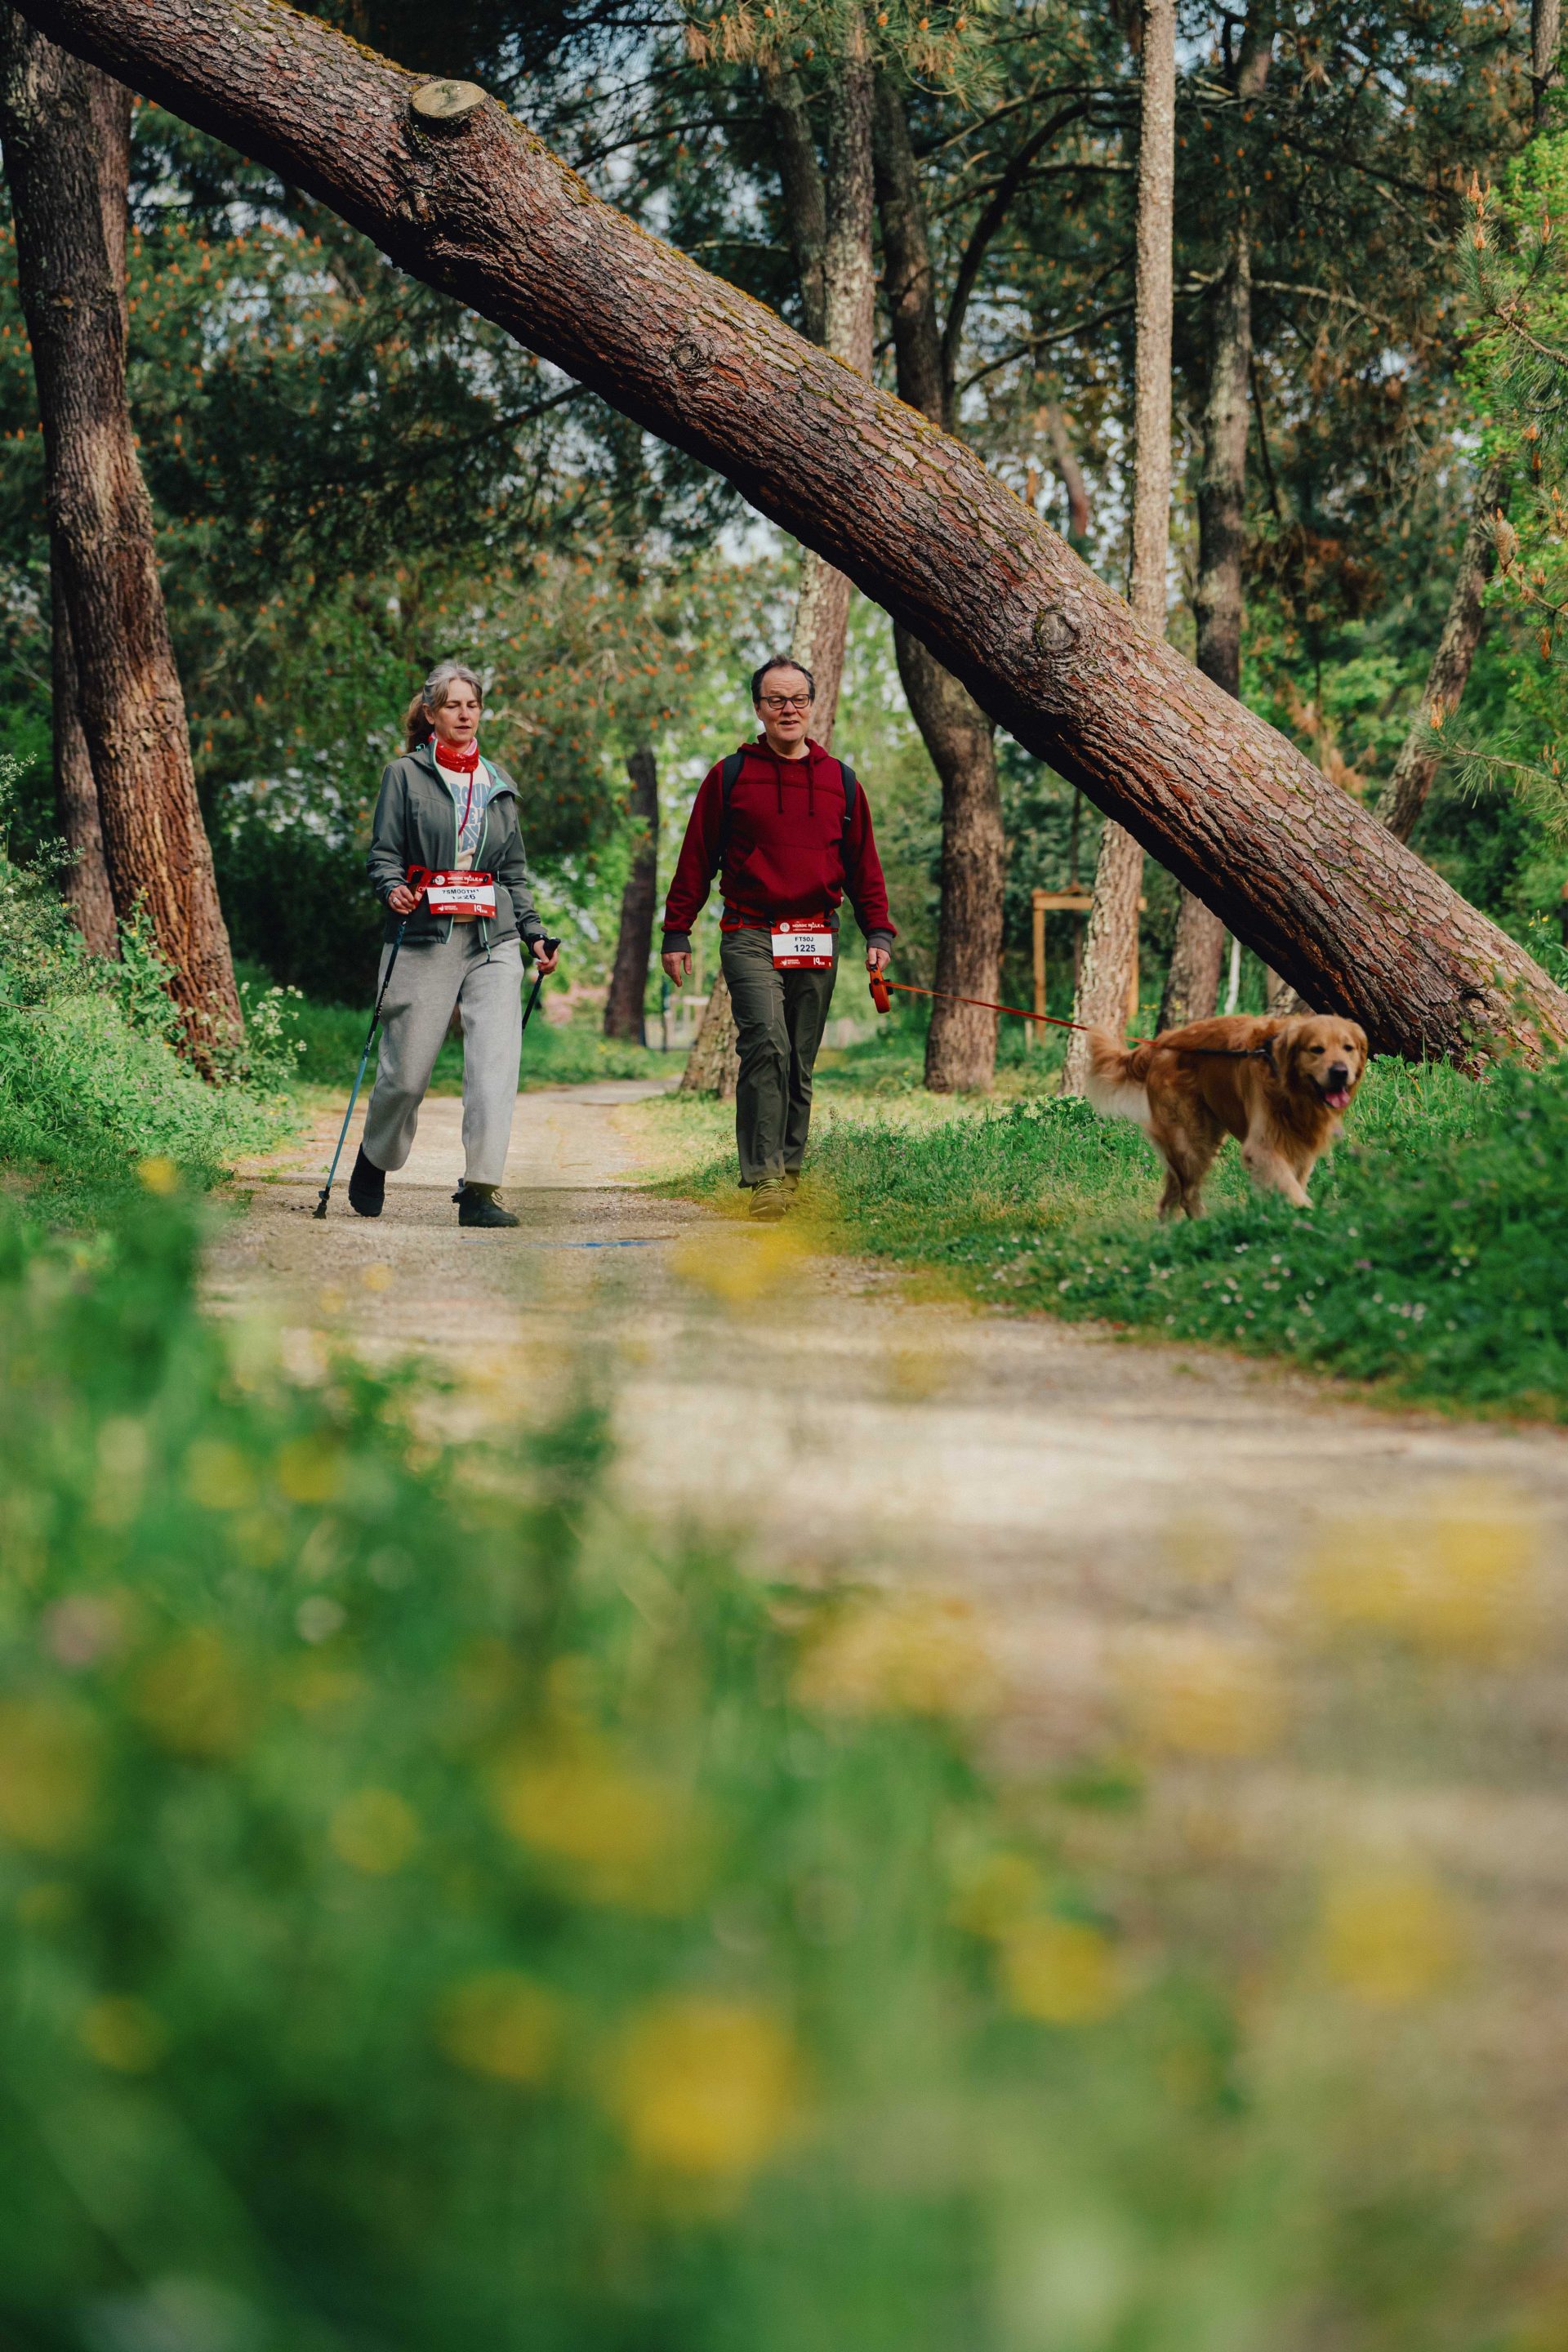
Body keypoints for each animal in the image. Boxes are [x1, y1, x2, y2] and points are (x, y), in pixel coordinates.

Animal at [1085, 1013, 1369, 1218]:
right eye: (1316, 1049)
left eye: (1348, 1048)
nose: (1340, 1072)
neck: (1291, 1091)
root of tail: (1163, 1042)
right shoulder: (1262, 1148)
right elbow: (1290, 1189)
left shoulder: (1300, 1147)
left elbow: (1293, 1184)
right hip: (1191, 1141)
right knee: (1188, 1194)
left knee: (1170, 1200)